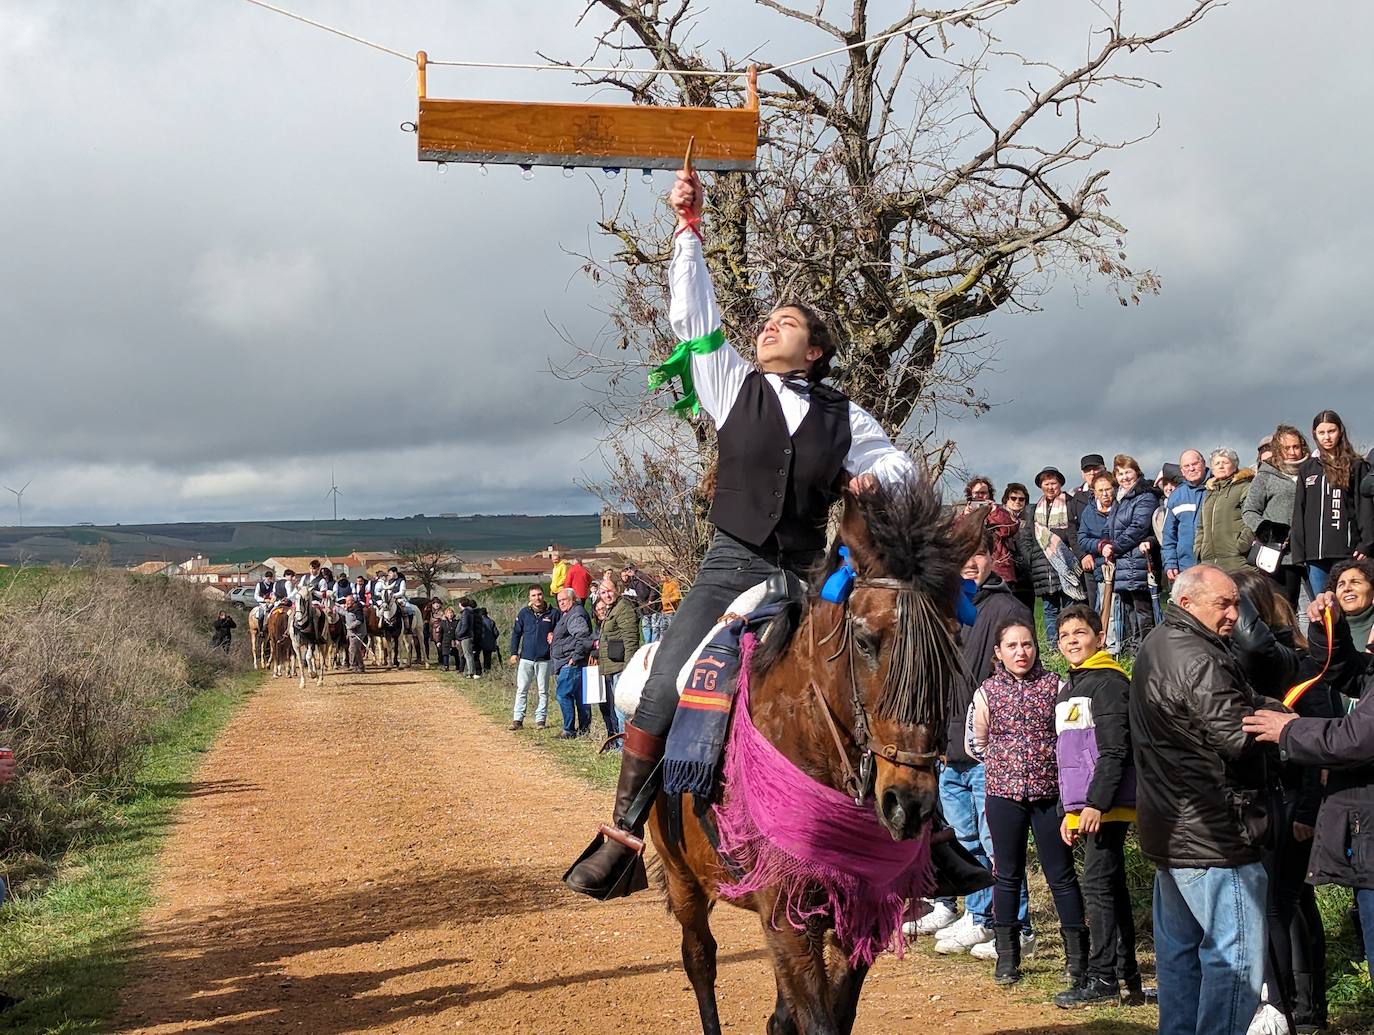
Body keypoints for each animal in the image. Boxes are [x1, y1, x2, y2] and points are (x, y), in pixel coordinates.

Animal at [648, 483, 972, 1033]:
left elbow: (831, 1015)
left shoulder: (857, 911)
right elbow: (815, 1019)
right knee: (700, 960)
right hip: (683, 877)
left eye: (953, 645)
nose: (909, 806)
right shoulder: (783, 914)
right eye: (864, 640)